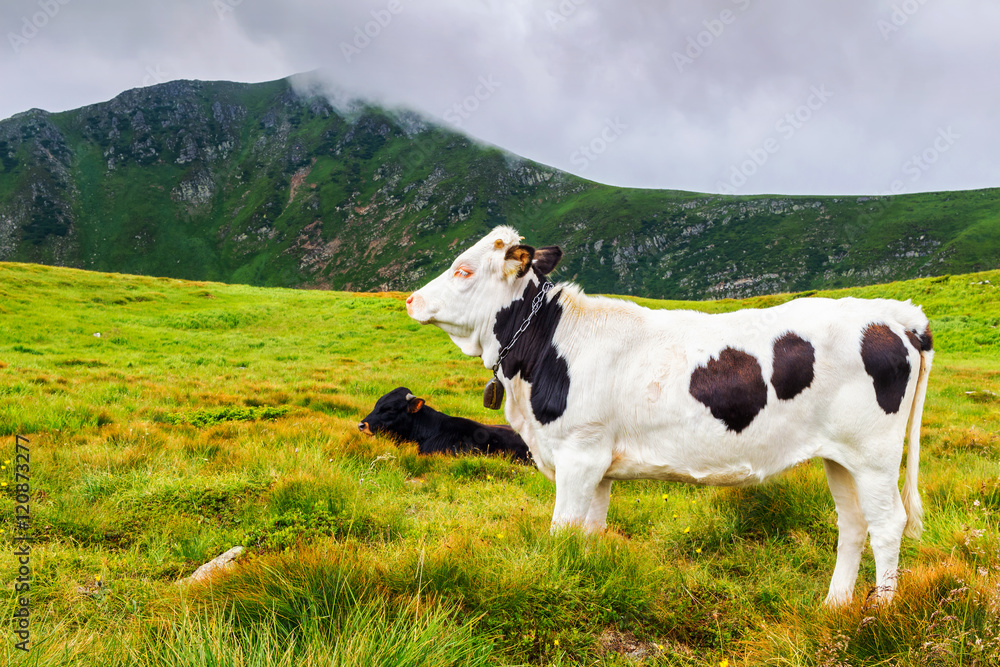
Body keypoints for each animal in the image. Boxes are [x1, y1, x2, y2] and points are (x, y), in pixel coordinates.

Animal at [405, 225, 934, 605]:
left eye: (463, 270)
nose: (410, 298)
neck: (546, 351)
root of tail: (897, 315)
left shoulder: (577, 455)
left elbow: (562, 530)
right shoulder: (598, 463)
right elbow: (589, 533)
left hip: (874, 455)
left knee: (888, 524)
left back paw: (878, 614)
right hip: (840, 457)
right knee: (854, 524)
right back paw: (834, 606)